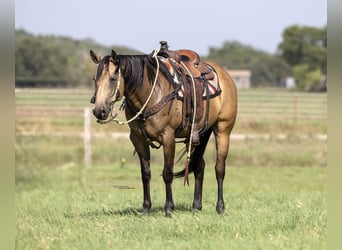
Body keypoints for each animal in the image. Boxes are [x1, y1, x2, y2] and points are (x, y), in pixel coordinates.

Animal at [89, 41, 236, 217]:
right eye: (94, 79)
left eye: (112, 79)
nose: (99, 110)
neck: (152, 94)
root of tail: (225, 75)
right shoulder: (138, 139)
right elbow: (145, 173)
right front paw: (146, 208)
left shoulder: (168, 138)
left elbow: (167, 173)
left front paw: (168, 208)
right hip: (200, 135)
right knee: (199, 166)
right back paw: (196, 206)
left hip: (223, 130)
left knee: (219, 168)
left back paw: (220, 207)